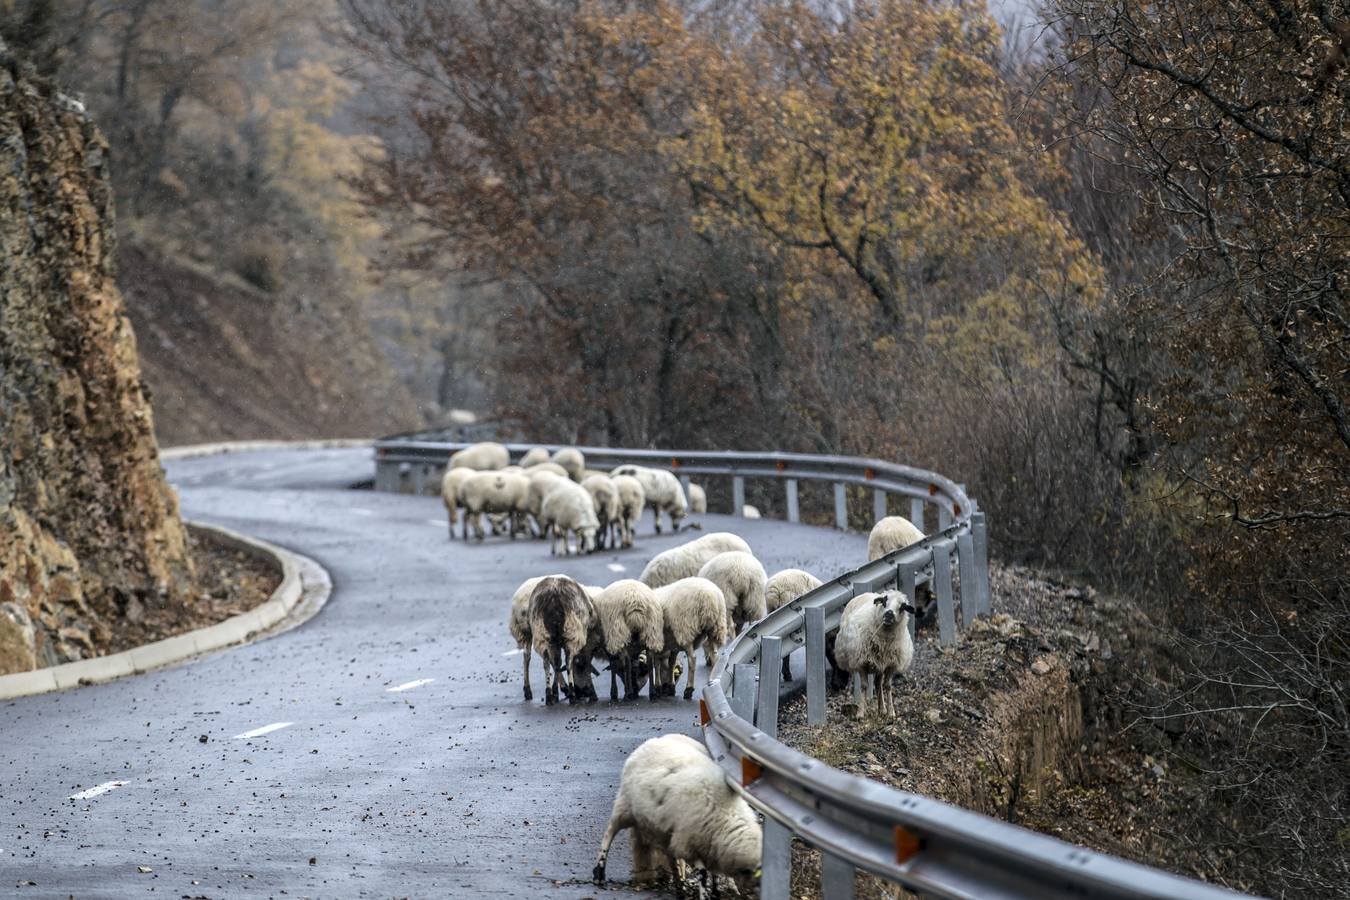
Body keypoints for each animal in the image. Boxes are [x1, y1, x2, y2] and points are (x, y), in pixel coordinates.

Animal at [596, 734, 766, 890]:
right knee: (610, 832)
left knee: (670, 857)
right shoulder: (689, 843)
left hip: (661, 829)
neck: (726, 816)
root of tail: (654, 740)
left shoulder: (706, 846)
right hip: (625, 806)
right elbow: (702, 874)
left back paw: (679, 882)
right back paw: (599, 871)